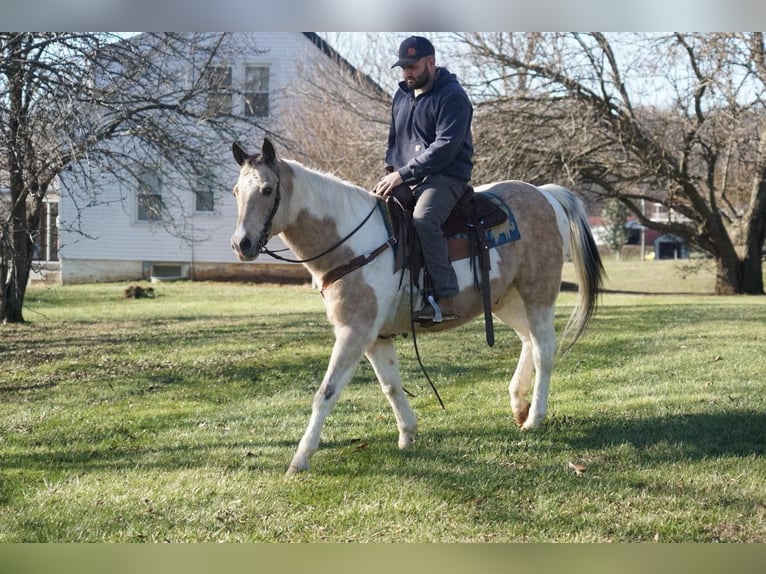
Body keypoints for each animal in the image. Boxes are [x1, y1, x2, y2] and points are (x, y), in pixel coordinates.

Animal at [230, 138, 605, 475]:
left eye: (266, 189)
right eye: (235, 191)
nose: (241, 244)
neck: (354, 243)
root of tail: (546, 194)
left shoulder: (354, 331)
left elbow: (326, 393)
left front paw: (300, 458)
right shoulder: (375, 338)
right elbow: (391, 385)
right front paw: (408, 434)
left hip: (537, 293)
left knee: (544, 349)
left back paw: (534, 418)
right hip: (506, 300)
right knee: (528, 340)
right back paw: (518, 404)